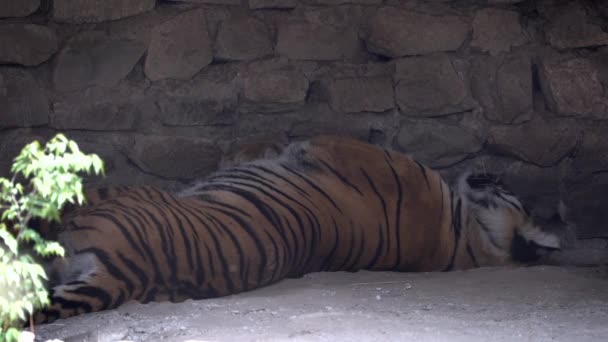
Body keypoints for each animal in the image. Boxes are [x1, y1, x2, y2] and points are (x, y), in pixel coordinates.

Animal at [33, 136, 560, 324]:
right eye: (510, 187)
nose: (490, 169)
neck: (462, 241)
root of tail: (127, 275)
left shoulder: (336, 147)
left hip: (102, 193)